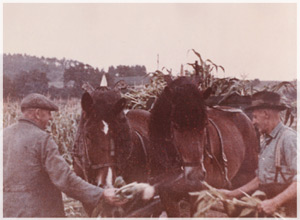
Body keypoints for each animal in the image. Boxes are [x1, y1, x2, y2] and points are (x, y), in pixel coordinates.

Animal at [149, 76, 258, 217]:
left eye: (205, 123)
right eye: (175, 125)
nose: (196, 176)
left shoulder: (198, 197)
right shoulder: (167, 198)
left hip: (245, 179)